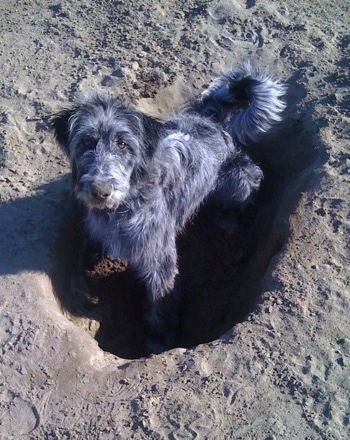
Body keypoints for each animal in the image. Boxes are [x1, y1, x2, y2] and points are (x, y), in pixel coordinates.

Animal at [52, 64, 286, 354]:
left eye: (123, 144)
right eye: (86, 142)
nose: (100, 190)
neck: (126, 204)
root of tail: (209, 118)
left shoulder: (160, 262)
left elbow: (160, 306)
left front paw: (160, 340)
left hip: (241, 178)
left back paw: (226, 220)